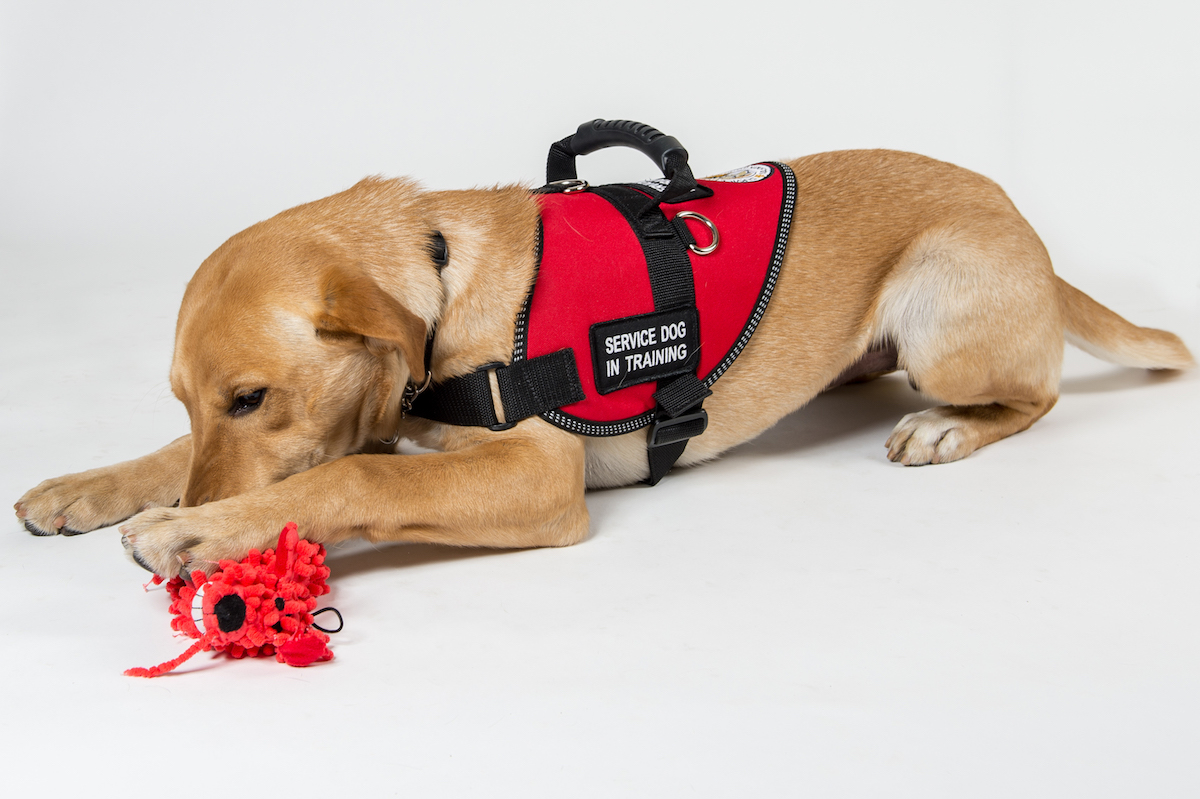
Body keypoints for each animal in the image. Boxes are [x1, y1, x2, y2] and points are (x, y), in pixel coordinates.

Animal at [14, 136, 1195, 575]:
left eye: (254, 395)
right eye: (193, 397)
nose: (206, 506)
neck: (445, 277)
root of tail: (1030, 234)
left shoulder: (541, 476)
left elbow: (354, 476)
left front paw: (200, 531)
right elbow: (178, 454)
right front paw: (93, 486)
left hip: (946, 305)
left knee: (1035, 394)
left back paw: (948, 425)